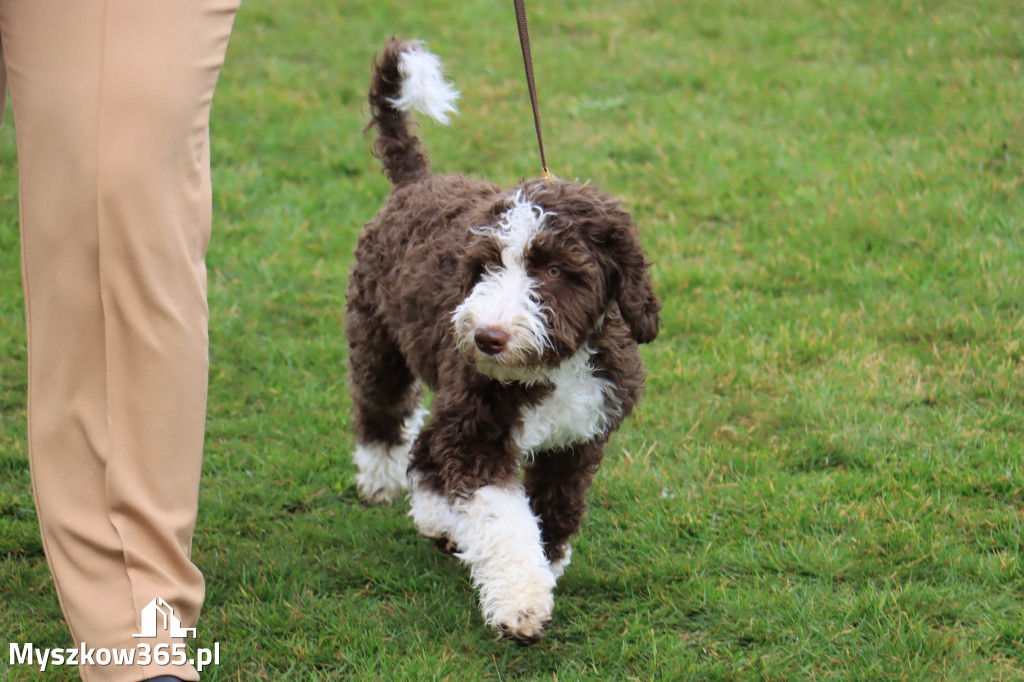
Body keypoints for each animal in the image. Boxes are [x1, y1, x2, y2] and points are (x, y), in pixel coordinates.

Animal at [346, 37, 663, 643]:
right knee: (385, 416)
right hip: (378, 342)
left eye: (557, 270)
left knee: (426, 444)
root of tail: (417, 182)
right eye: (487, 264)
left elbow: (555, 513)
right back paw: (383, 484)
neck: (556, 368)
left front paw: (545, 568)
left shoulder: (578, 441)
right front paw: (521, 602)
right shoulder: (479, 431)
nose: (487, 338)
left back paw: (437, 519)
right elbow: (504, 521)